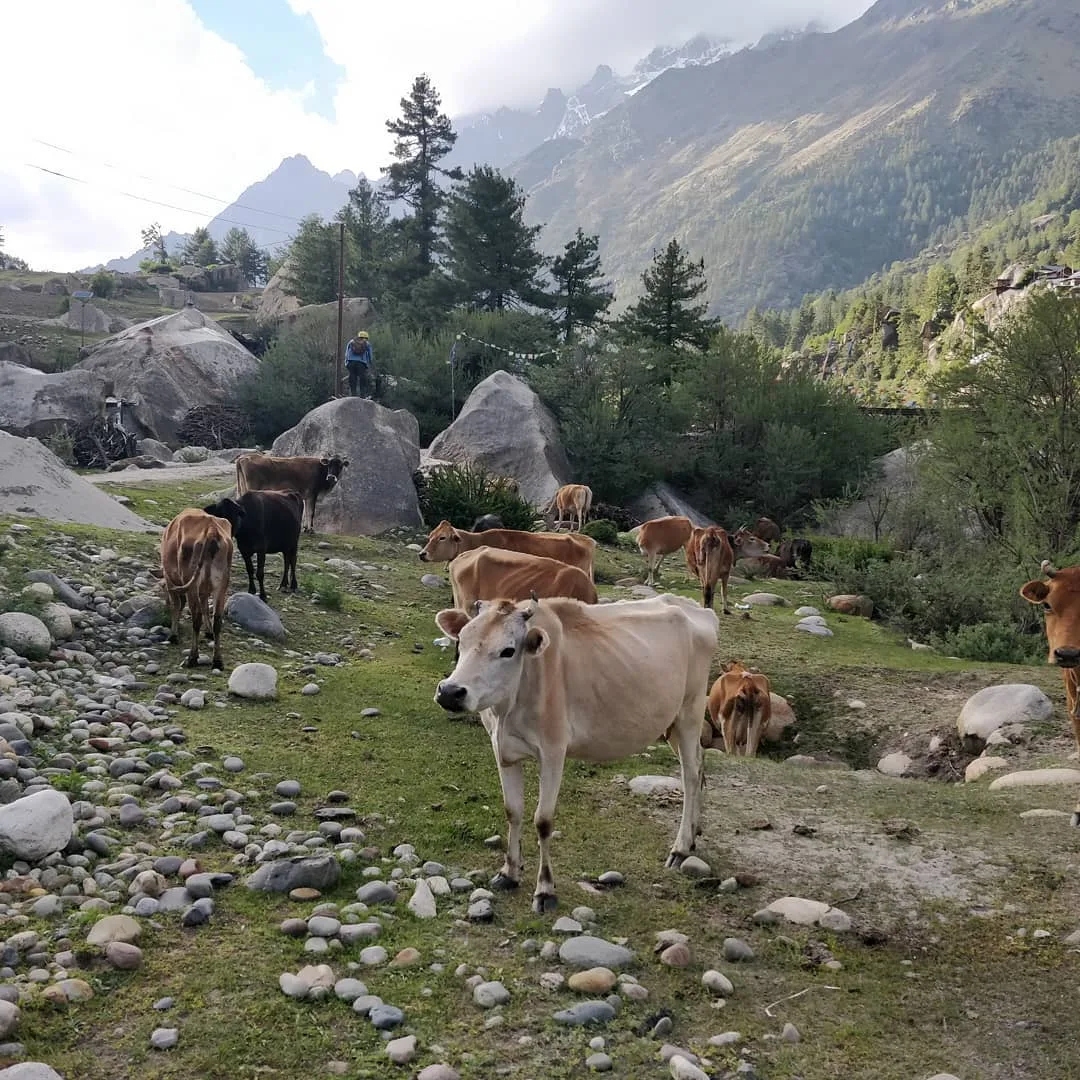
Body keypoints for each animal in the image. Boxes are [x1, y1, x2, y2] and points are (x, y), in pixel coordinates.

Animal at [159, 507, 238, 669]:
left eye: (162, 588)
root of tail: (211, 530)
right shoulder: (204, 589)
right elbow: (206, 608)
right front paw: (208, 632)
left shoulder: (170, 580)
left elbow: (177, 605)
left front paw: (173, 635)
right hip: (222, 584)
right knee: (217, 620)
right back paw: (217, 660)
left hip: (192, 582)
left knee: (196, 618)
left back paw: (192, 657)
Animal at [433, 594, 718, 911]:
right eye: (461, 640)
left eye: (508, 651)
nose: (450, 692)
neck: (509, 707)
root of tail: (694, 607)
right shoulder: (502, 749)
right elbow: (513, 811)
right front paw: (508, 873)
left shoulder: (553, 752)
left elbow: (543, 821)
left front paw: (545, 890)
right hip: (672, 724)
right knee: (700, 767)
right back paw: (694, 835)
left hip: (690, 712)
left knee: (690, 776)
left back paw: (680, 848)